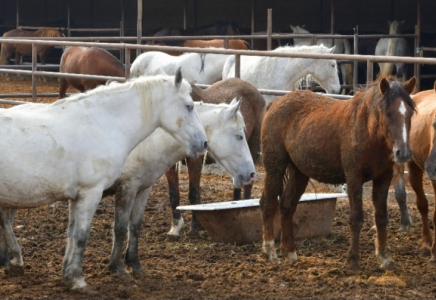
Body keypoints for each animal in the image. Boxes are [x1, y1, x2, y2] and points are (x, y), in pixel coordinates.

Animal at [0, 69, 209, 290]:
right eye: (189, 106)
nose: (203, 143)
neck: (100, 124)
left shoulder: (78, 197)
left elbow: (72, 234)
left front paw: (68, 274)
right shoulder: (92, 192)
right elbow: (83, 236)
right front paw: (78, 279)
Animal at [106, 99, 255, 278]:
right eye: (239, 136)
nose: (251, 173)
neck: (144, 142)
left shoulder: (142, 189)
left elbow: (134, 226)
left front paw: (135, 264)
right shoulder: (126, 188)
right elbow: (120, 228)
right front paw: (117, 268)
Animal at [164, 78, 264, 238]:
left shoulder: (196, 160)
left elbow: (194, 193)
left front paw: (194, 227)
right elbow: (173, 194)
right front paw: (175, 227)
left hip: (253, 148)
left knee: (247, 185)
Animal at [260, 75, 418, 270]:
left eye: (410, 113)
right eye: (388, 113)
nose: (403, 153)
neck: (366, 130)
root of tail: (275, 103)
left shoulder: (383, 179)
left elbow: (381, 217)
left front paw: (384, 258)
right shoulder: (354, 179)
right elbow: (356, 218)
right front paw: (352, 260)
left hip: (299, 172)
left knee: (286, 206)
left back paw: (290, 252)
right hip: (275, 166)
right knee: (268, 204)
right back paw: (270, 251)